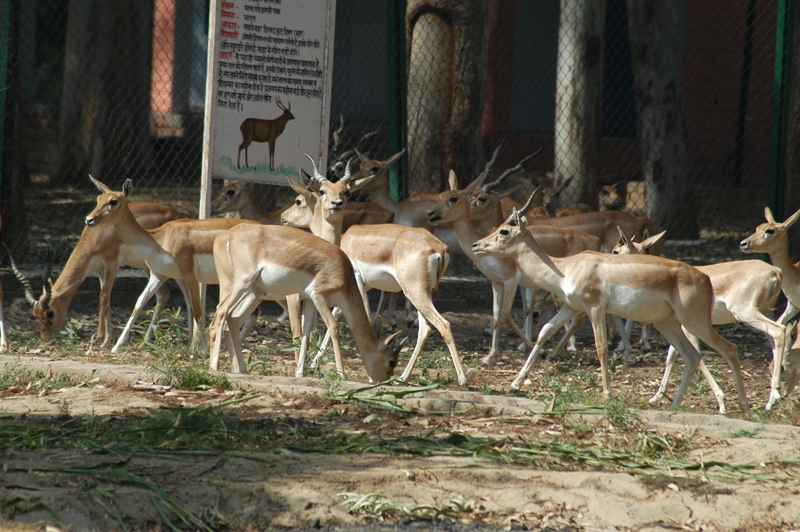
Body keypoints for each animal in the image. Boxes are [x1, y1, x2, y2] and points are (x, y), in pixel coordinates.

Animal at [84, 176, 259, 354]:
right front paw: (116, 347)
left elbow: (198, 310)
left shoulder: (189, 274)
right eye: (99, 199)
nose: (89, 219)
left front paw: (203, 350)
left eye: (113, 201)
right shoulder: (159, 275)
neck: (160, 240)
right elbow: (139, 304)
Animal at [208, 223, 404, 381]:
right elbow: (333, 327)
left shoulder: (309, 299)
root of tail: (226, 236)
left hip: (255, 292)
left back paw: (241, 369)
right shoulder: (318, 295)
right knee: (220, 312)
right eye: (392, 362)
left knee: (233, 319)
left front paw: (300, 373)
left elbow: (306, 332)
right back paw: (214, 367)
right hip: (242, 283)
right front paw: (341, 375)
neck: (344, 274)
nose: (382, 382)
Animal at [281, 158, 466, 385]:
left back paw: (462, 379)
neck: (342, 242)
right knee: (426, 329)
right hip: (423, 293)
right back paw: (403, 377)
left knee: (443, 325)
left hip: (415, 292)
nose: (283, 217)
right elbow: (338, 313)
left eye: (298, 201)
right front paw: (315, 364)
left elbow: (361, 316)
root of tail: (439, 248)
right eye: (324, 191)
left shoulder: (357, 283)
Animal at [471, 208, 750, 413]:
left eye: (504, 231)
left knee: (729, 349)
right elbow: (544, 333)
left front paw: (606, 394)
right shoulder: (571, 307)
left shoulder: (594, 307)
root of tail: (705, 278)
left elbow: (601, 346)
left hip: (694, 322)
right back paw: (673, 405)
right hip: (668, 323)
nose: (475, 245)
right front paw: (515, 384)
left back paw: (744, 407)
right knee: (692, 356)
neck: (567, 268)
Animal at [614, 226, 786, 412]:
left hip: (746, 313)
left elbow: (695, 355)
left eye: (616, 250)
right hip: (764, 313)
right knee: (776, 340)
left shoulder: (688, 328)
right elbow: (671, 355)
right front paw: (656, 396)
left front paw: (721, 401)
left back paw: (769, 399)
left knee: (778, 332)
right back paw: (773, 398)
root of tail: (775, 271)